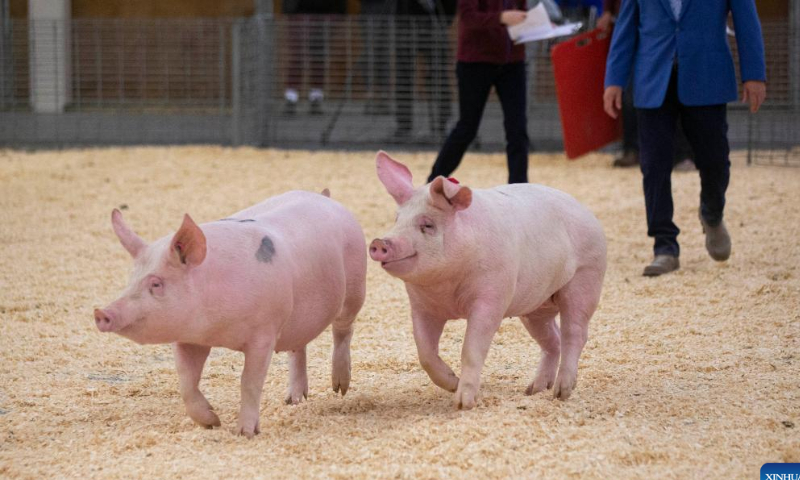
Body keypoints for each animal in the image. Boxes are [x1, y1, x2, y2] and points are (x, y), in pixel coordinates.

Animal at [94, 190, 366, 437]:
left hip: (355, 286)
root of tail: (324, 196)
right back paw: (293, 400)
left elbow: (249, 382)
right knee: (298, 346)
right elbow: (186, 383)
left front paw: (244, 433)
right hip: (297, 319)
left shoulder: (264, 333)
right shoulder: (189, 338)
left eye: (156, 284)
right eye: (131, 280)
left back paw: (340, 388)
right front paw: (211, 423)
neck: (217, 329)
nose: (101, 313)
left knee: (343, 329)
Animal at [370, 151, 606, 409]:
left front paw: (463, 403)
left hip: (586, 277)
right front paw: (453, 383)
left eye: (427, 225)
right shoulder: (422, 307)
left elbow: (471, 349)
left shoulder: (492, 297)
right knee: (552, 339)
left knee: (575, 333)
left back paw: (561, 392)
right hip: (536, 306)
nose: (379, 242)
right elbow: (425, 353)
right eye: (397, 220)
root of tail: (586, 211)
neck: (447, 288)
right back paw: (533, 390)